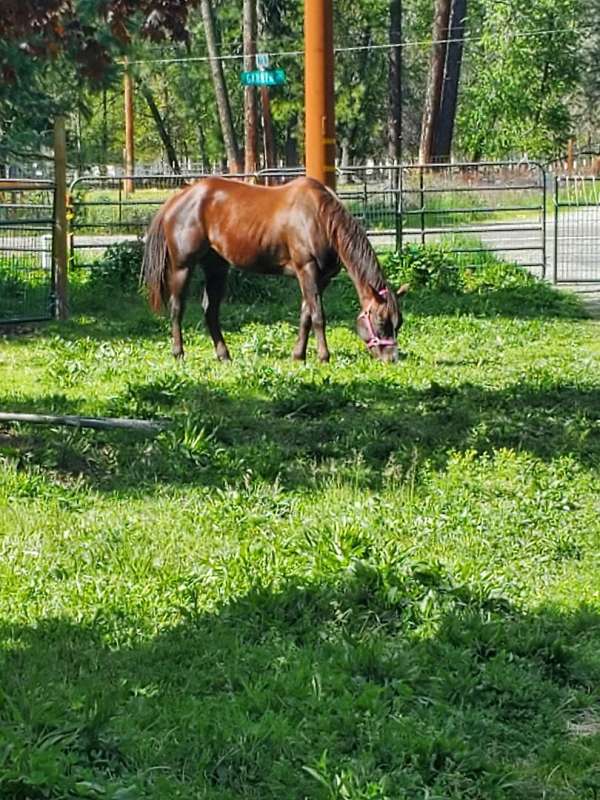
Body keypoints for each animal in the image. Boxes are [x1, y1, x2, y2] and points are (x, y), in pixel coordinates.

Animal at [141, 176, 408, 363]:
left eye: (399, 323)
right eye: (381, 320)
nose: (392, 358)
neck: (320, 218)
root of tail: (177, 198)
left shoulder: (320, 278)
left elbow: (306, 314)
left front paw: (298, 355)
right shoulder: (306, 269)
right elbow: (318, 316)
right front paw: (323, 356)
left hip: (217, 267)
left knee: (210, 311)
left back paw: (224, 355)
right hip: (182, 267)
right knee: (177, 308)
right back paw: (178, 352)